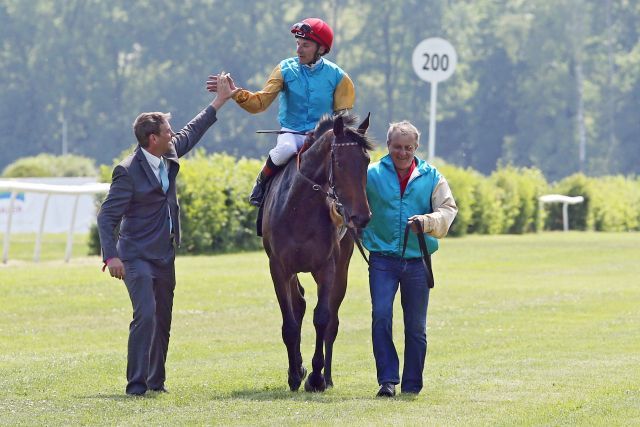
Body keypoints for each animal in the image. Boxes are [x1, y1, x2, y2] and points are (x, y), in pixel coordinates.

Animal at [262, 112, 376, 392]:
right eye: (339, 162)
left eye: (366, 161)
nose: (361, 217)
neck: (299, 208)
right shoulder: (279, 267)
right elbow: (290, 322)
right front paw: (295, 373)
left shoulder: (327, 267)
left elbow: (322, 319)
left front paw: (316, 376)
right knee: (299, 304)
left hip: (341, 268)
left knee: (332, 320)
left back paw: (327, 376)